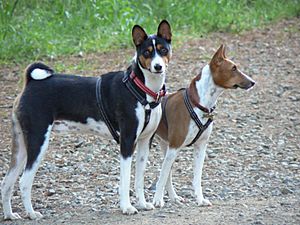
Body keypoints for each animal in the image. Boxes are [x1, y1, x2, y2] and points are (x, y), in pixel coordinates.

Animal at [1, 20, 171, 219]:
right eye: (146, 52)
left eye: (163, 50)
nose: (158, 67)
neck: (142, 89)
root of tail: (30, 82)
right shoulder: (127, 142)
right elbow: (125, 181)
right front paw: (127, 207)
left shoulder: (145, 141)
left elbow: (139, 179)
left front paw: (143, 204)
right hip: (38, 142)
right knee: (24, 182)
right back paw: (32, 213)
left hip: (21, 146)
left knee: (7, 183)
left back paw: (10, 215)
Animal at [154, 44, 254, 207]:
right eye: (233, 68)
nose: (252, 82)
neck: (198, 104)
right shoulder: (175, 146)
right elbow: (162, 176)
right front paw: (157, 200)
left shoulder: (200, 146)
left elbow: (197, 178)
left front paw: (200, 199)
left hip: (165, 145)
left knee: (168, 173)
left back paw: (174, 197)